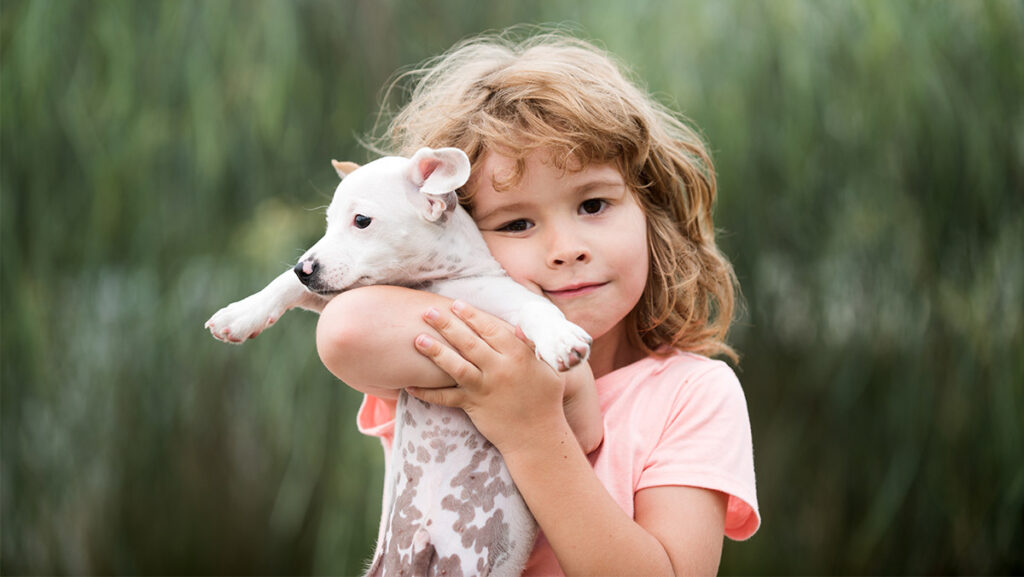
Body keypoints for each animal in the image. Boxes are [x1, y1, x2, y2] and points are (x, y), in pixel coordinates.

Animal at [205, 148, 593, 577]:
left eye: (361, 221)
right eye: (328, 223)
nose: (305, 268)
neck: (433, 284)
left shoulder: (506, 304)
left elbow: (536, 308)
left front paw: (560, 337)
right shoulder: (342, 294)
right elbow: (283, 284)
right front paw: (241, 314)